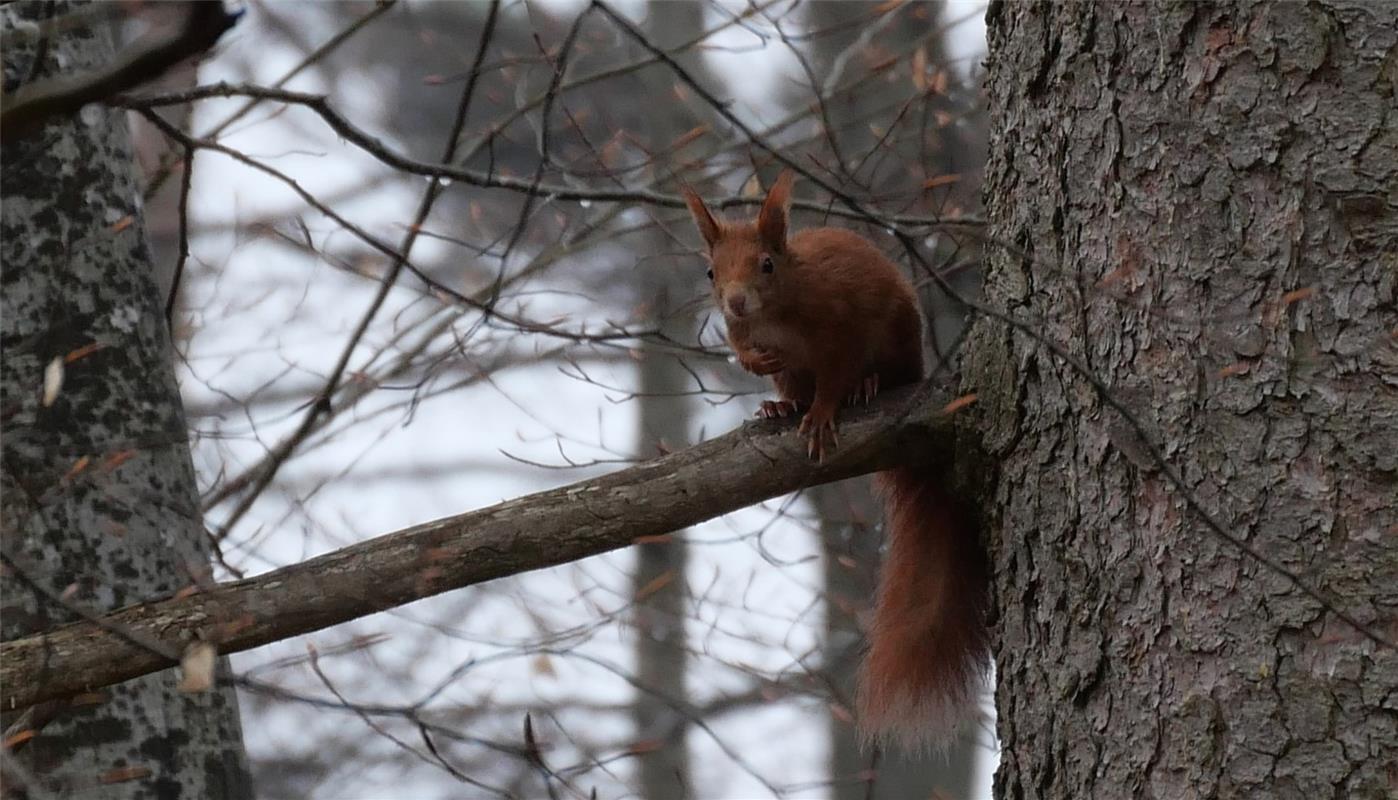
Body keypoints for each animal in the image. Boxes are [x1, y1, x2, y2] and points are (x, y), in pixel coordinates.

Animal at [682, 172, 989, 749]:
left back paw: (865, 388)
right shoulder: (742, 334)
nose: (736, 302)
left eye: (767, 264)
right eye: (710, 271)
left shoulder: (839, 322)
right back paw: (780, 405)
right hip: (796, 374)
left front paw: (826, 413)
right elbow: (745, 354)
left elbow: (836, 371)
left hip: (897, 340)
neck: (777, 313)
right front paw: (760, 365)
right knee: (793, 388)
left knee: (872, 373)